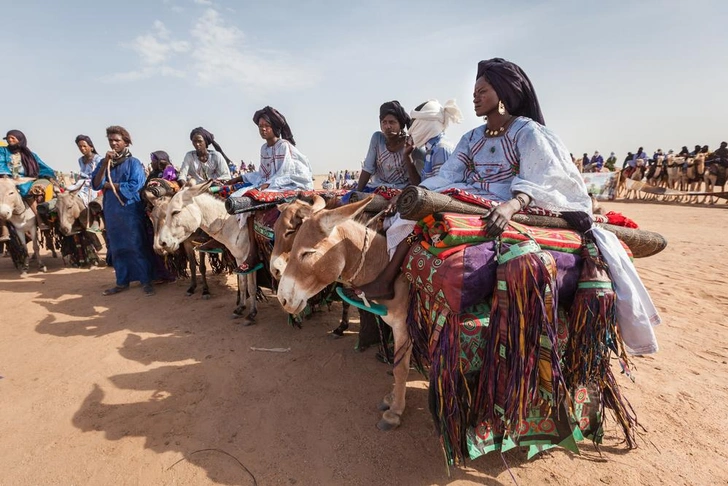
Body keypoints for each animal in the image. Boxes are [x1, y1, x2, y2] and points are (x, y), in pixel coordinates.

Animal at [156, 181, 258, 322]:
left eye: (175, 212)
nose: (162, 243)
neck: (234, 225)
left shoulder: (249, 259)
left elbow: (252, 286)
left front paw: (252, 313)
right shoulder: (240, 259)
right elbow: (243, 284)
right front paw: (240, 308)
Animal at [276, 197, 412, 430]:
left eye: (307, 253)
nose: (282, 299)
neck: (387, 267)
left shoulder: (405, 326)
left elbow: (401, 368)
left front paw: (394, 412)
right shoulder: (396, 327)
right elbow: (397, 365)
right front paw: (392, 398)